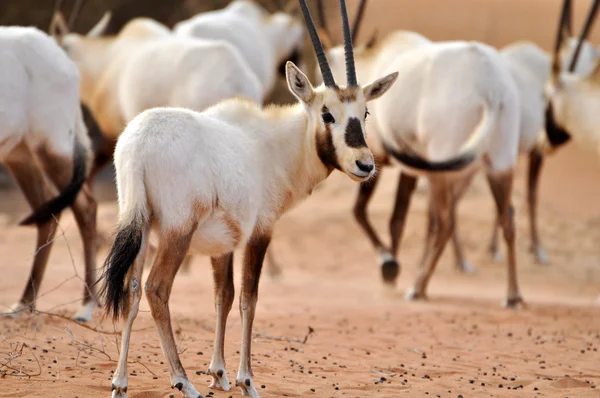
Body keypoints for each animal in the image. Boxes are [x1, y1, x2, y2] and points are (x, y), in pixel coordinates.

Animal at [0, 25, 96, 320]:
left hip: (51, 148)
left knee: (85, 206)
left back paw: (87, 306)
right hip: (19, 155)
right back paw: (24, 303)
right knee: (47, 211)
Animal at [97, 1, 398, 396]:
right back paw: (182, 381)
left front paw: (219, 373)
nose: (365, 164)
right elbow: (248, 299)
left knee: (131, 290)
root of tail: (137, 144)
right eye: (327, 114)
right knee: (156, 289)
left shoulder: (223, 243)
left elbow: (222, 296)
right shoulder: (261, 232)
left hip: (140, 224)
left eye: (363, 113)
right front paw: (246, 380)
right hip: (177, 231)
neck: (275, 144)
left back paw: (120, 382)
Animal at [324, 30, 524, 308]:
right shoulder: (408, 169)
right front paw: (392, 269)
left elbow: (364, 211)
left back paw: (417, 288)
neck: (374, 60)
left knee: (445, 222)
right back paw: (513, 295)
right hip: (499, 163)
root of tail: (491, 86)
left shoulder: (376, 160)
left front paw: (390, 269)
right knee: (507, 219)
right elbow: (397, 218)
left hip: (442, 164)